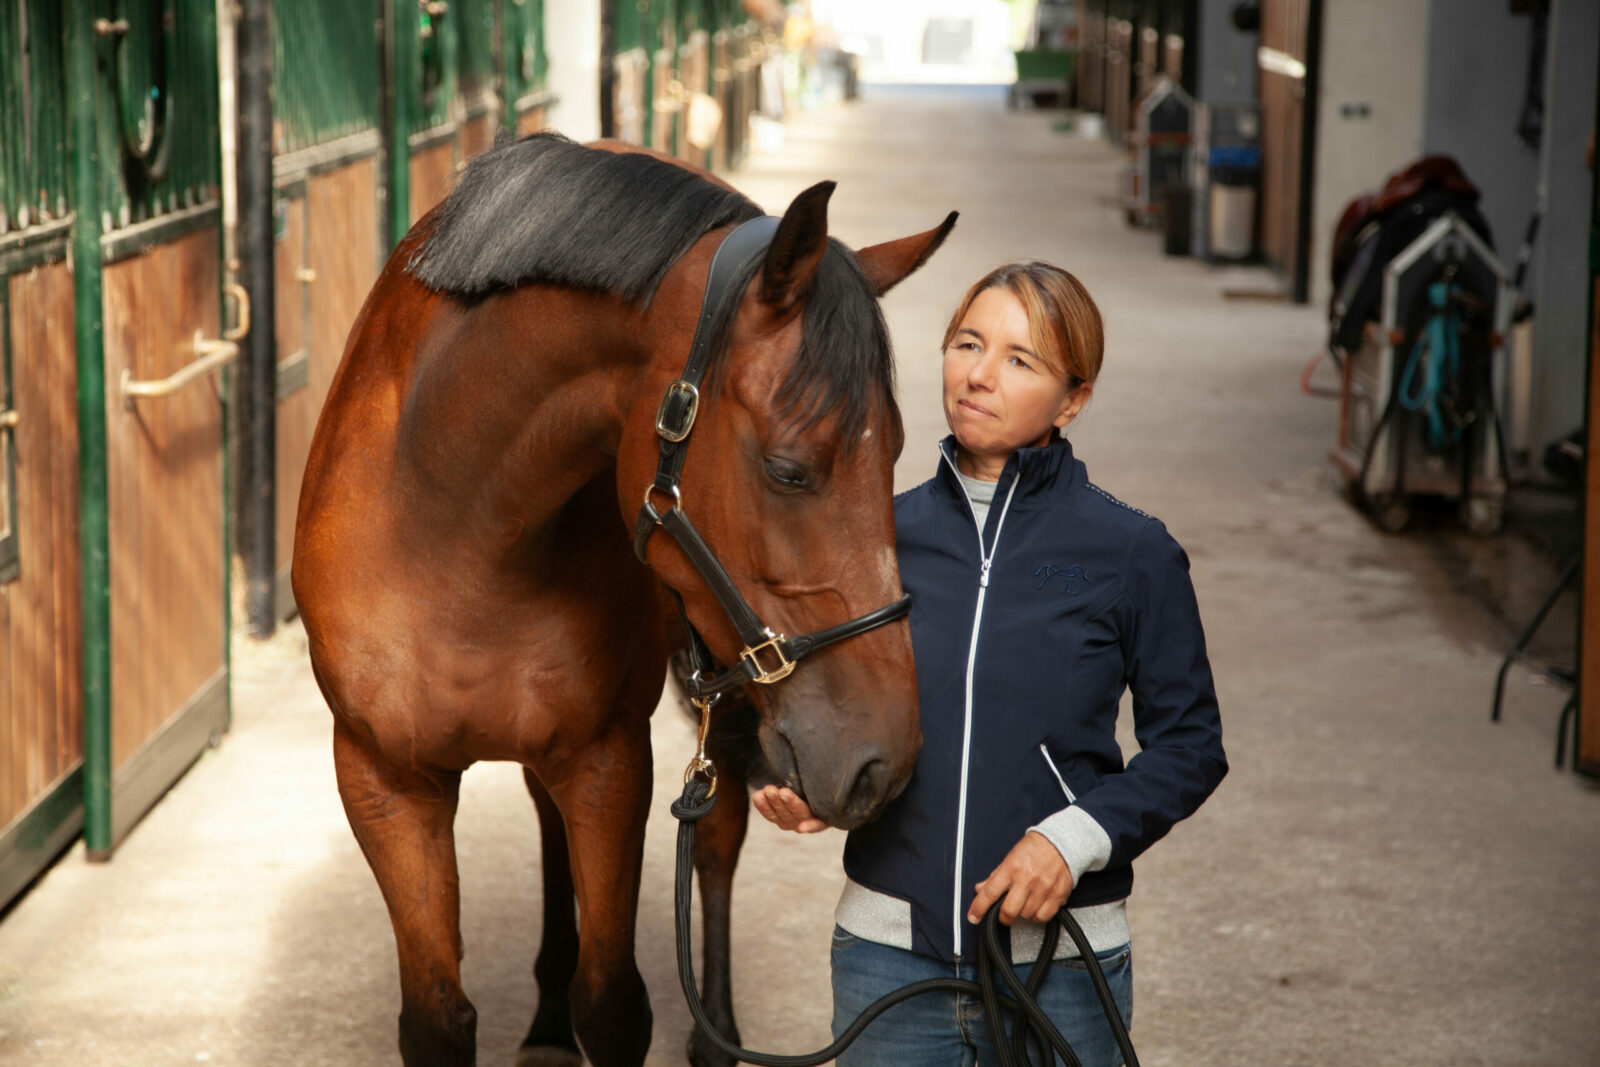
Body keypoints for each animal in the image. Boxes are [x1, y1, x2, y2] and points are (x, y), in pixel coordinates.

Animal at [292, 131, 955, 1067]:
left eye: (896, 449)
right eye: (789, 468)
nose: (884, 764)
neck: (447, 519)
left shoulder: (607, 761)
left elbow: (611, 1001)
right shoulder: (384, 779)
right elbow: (437, 1016)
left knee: (715, 836)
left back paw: (716, 1034)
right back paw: (543, 1020)